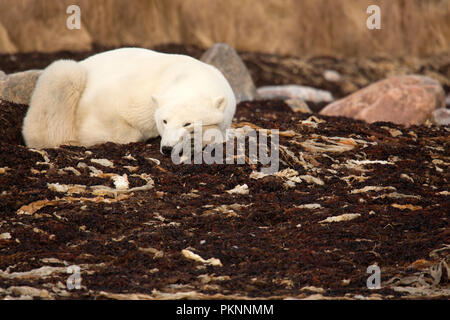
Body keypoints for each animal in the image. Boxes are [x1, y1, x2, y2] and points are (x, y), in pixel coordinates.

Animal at [22, 46, 236, 155]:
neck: (187, 75)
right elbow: (103, 115)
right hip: (68, 75)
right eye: (164, 121)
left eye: (187, 123)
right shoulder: (135, 93)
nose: (167, 148)